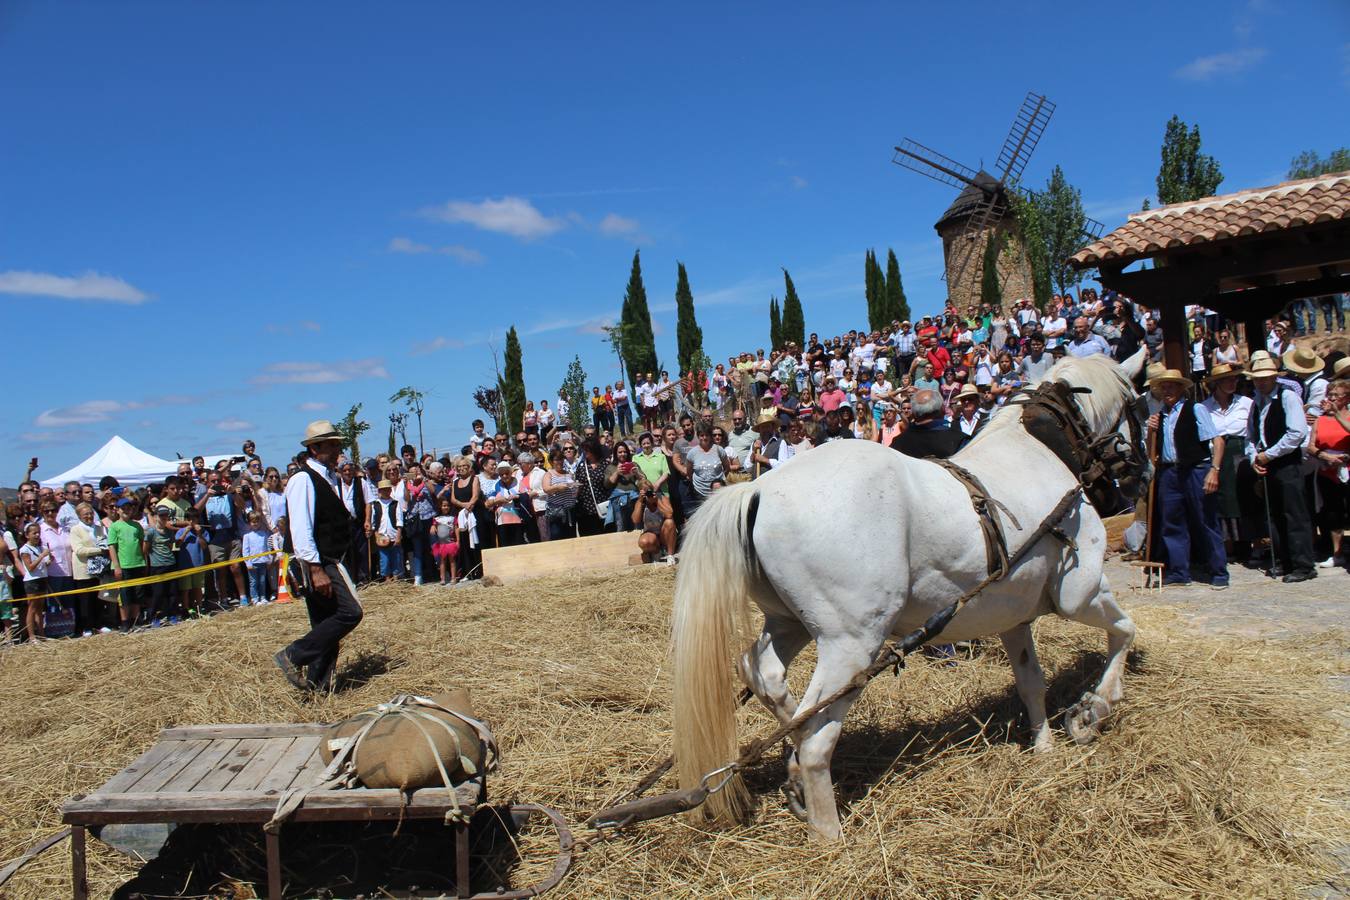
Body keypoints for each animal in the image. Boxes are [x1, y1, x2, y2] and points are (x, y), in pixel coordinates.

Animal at [669, 350, 1144, 836]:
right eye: (1136, 404)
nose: (1137, 476)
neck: (1040, 452)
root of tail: (758, 487)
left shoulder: (1013, 617)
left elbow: (1032, 682)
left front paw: (1044, 745)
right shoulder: (1081, 592)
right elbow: (1125, 631)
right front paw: (1093, 711)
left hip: (790, 624)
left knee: (768, 681)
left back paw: (794, 769)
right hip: (851, 643)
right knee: (817, 736)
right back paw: (828, 830)